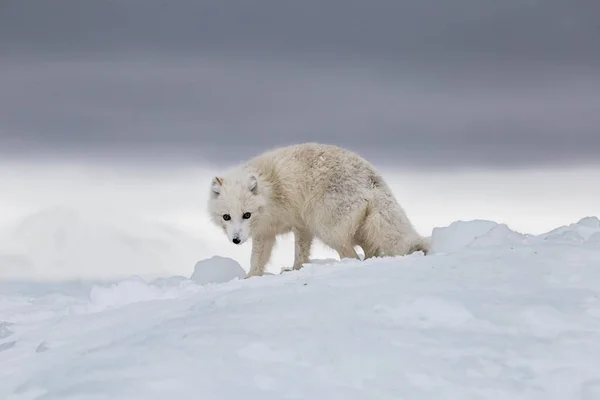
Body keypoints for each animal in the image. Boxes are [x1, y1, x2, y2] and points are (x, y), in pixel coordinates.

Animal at [209, 142, 428, 276]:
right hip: (360, 231)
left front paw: (295, 270)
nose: (236, 240)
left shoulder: (301, 225)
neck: (271, 192)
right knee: (371, 251)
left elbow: (299, 253)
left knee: (353, 255)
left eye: (247, 215)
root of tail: (373, 182)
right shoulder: (266, 232)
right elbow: (258, 259)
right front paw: (251, 277)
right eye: (226, 217)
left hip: (326, 229)